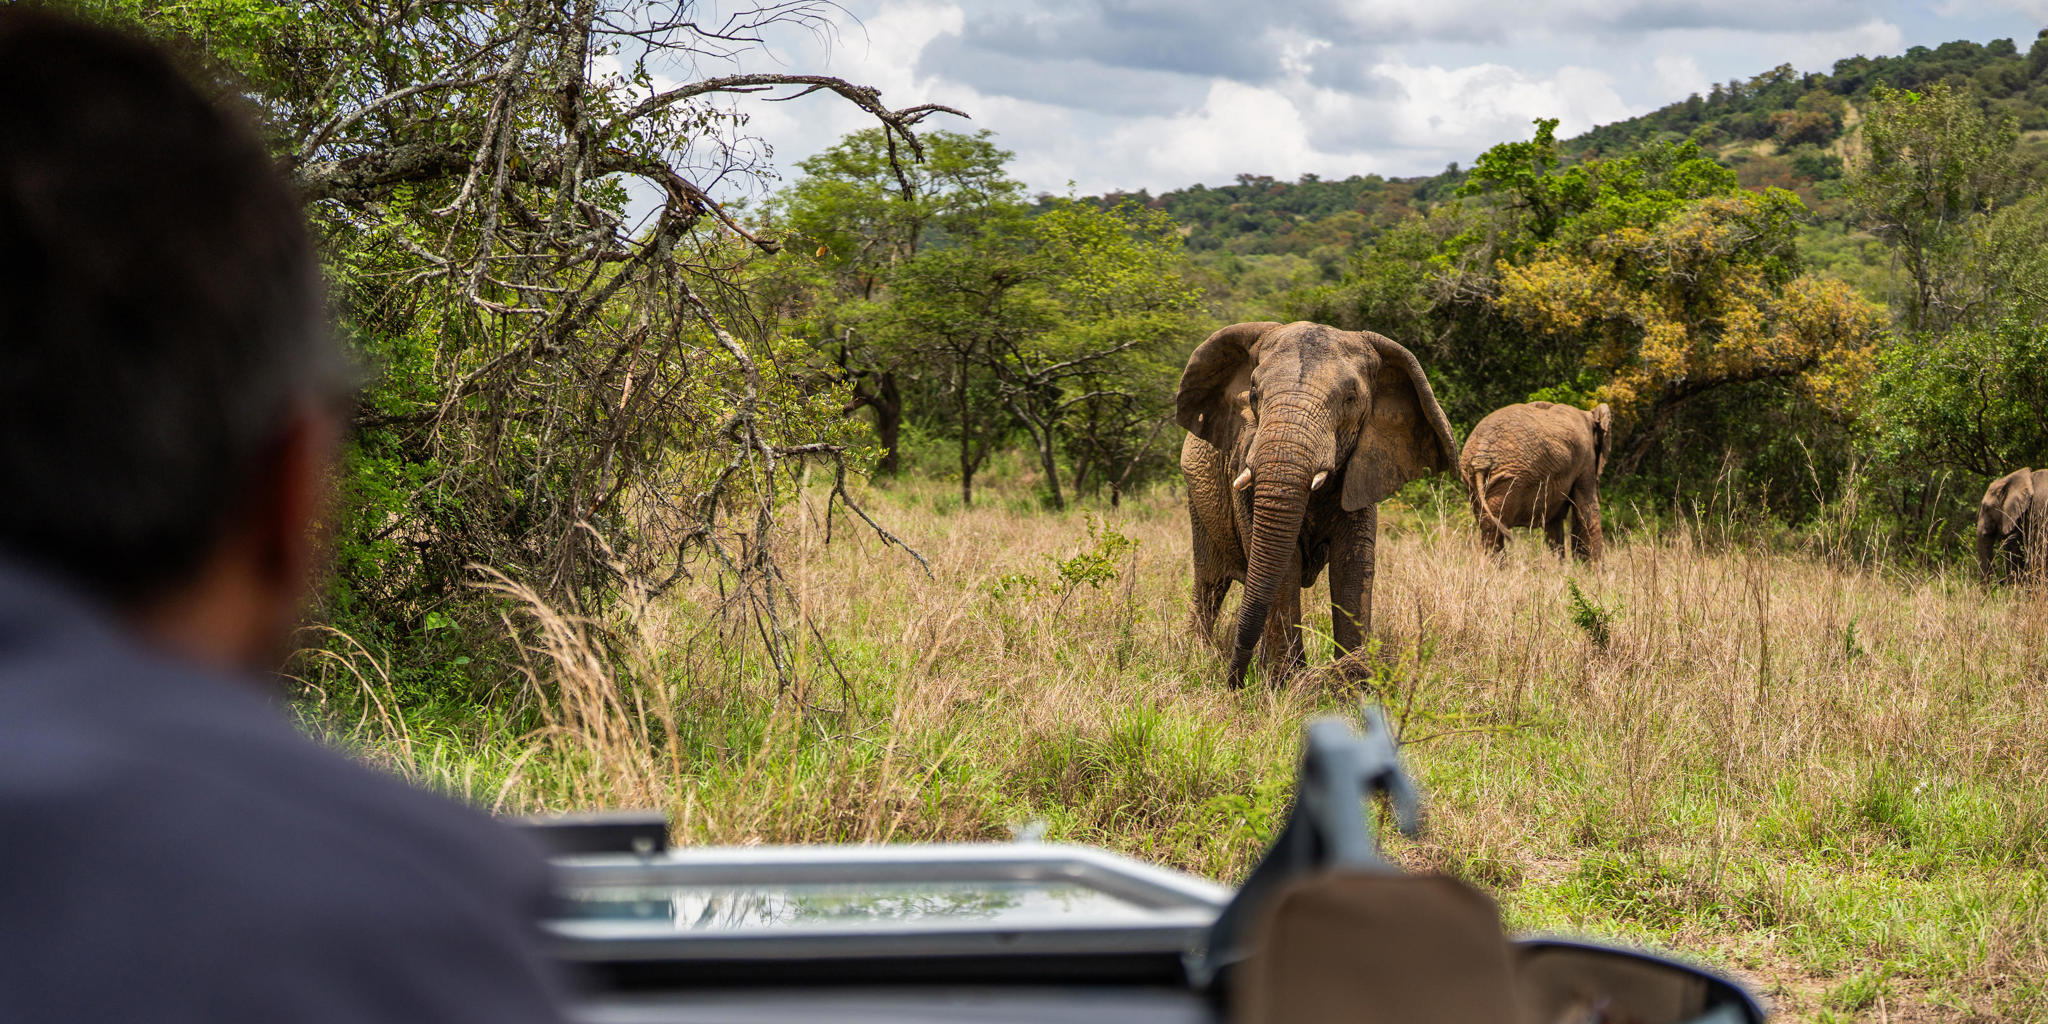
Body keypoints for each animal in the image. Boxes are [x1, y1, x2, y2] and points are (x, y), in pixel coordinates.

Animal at [1176, 321, 1459, 688]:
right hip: (1197, 492)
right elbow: (1282, 563)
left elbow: (1353, 563)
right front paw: (1285, 684)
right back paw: (1200, 653)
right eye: (1253, 394)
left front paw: (1354, 684)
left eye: (1350, 400)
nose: (1234, 683)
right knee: (1211, 581)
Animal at [1458, 401, 1611, 562]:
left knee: (1487, 526)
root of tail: (1480, 458)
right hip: (1509, 480)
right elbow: (1587, 510)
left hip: (1472, 479)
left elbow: (1554, 524)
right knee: (1494, 528)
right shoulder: (1586, 460)